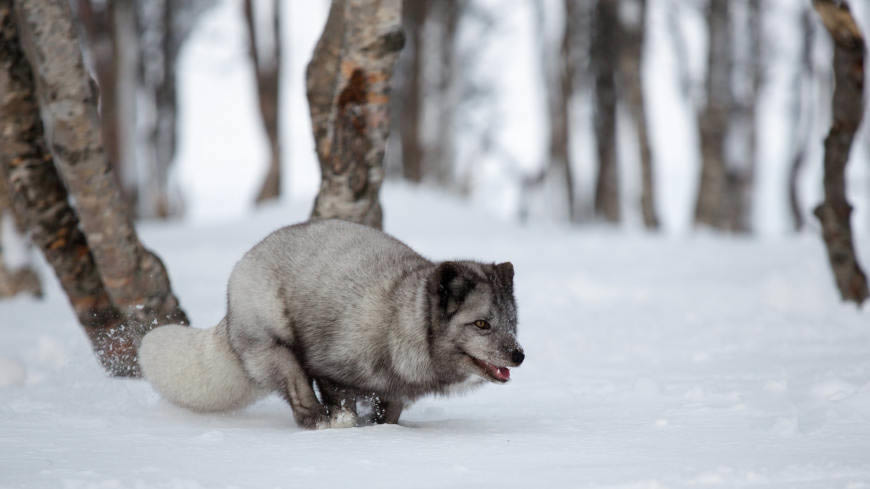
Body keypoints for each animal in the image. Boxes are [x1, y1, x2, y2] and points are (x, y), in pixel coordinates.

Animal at [138, 219, 524, 428]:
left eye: (512, 323)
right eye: (482, 324)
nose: (519, 355)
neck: (401, 321)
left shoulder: (395, 391)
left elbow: (391, 411)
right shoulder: (330, 367)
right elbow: (339, 397)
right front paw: (347, 424)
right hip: (277, 349)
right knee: (299, 396)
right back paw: (320, 419)